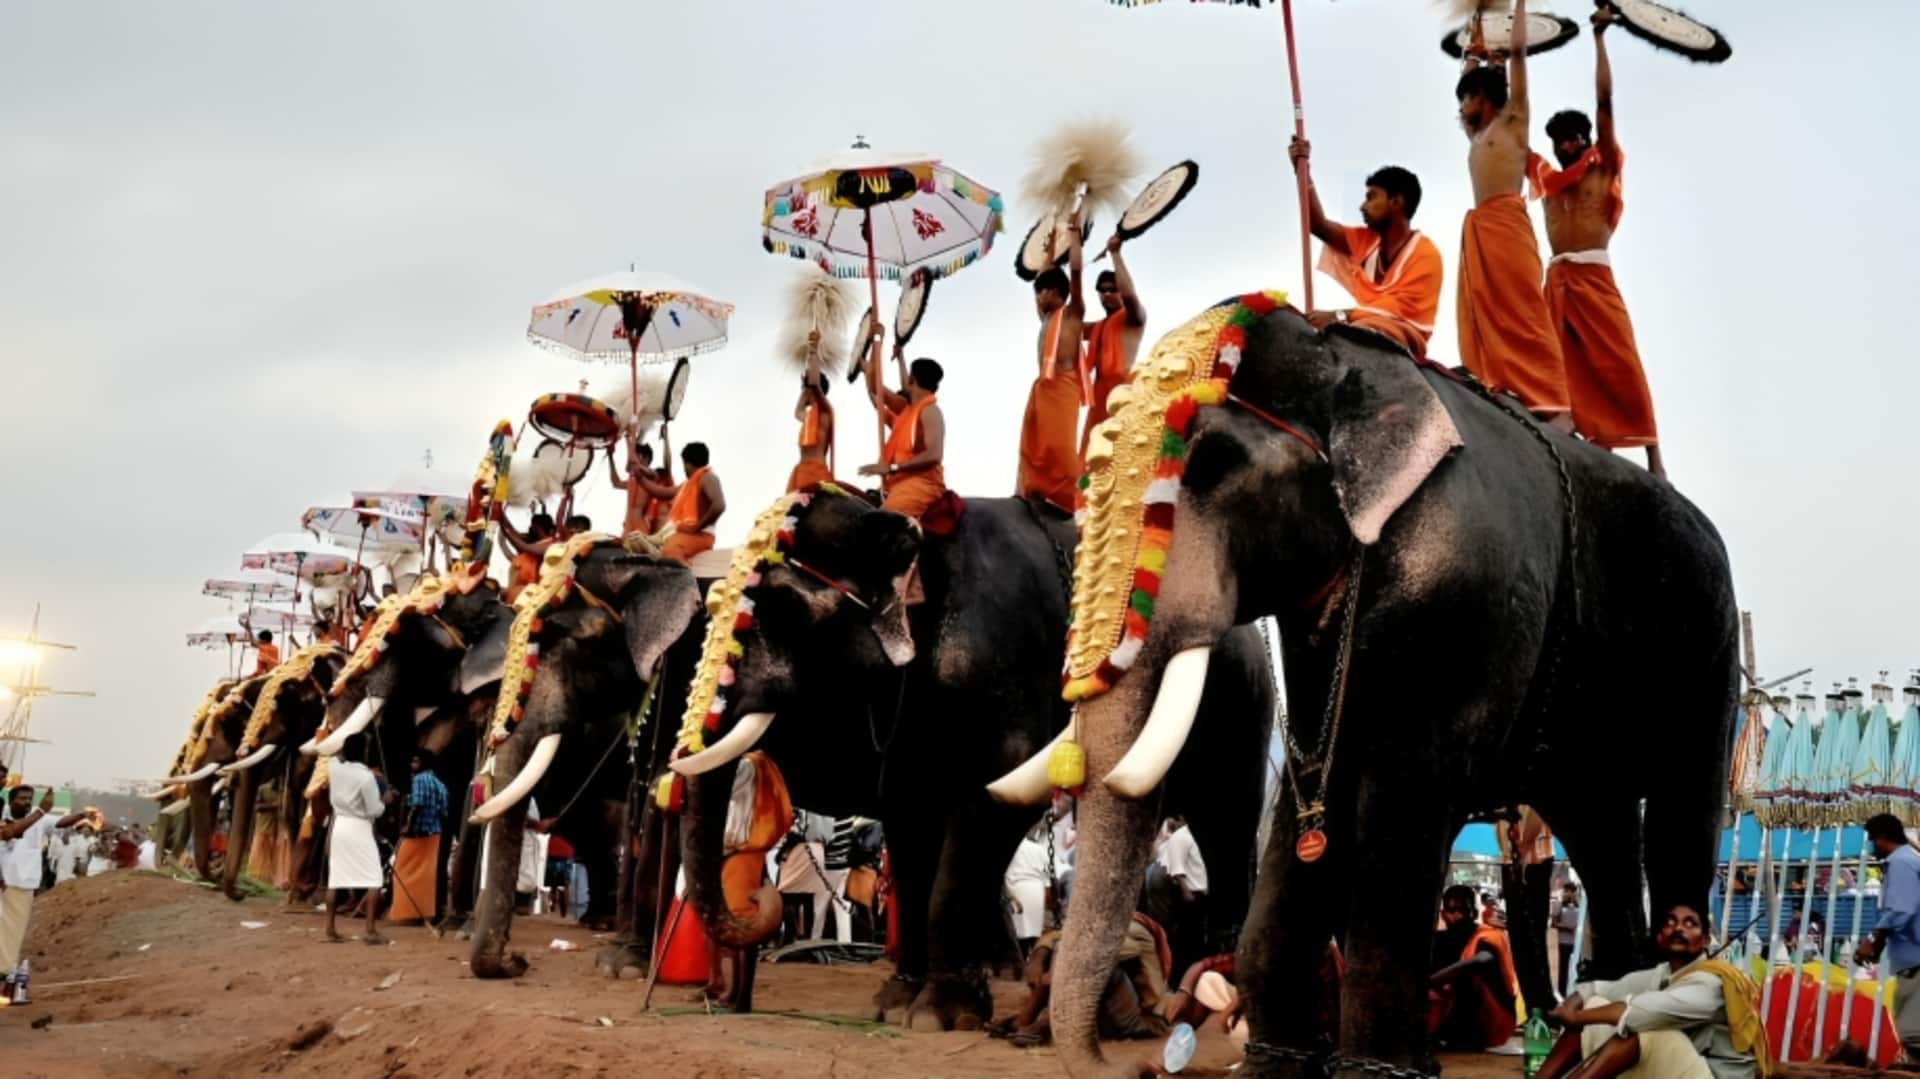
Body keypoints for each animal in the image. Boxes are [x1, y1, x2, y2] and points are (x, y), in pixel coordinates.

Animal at [668, 485, 1282, 1021]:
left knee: (1226, 819)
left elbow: (992, 802)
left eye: (784, 608)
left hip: (1240, 700)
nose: (758, 902)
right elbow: (911, 828)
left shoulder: (1004, 669)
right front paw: (895, 1003)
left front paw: (940, 1014)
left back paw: (1209, 985)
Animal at [1036, 297, 1743, 1075]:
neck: (1336, 356)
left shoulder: (1460, 592)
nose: (1130, 1062)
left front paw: (1378, 1070)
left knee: (1679, 810)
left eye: (1210, 462)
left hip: (1709, 642)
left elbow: (1403, 793)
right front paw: (1278, 1062)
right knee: (1601, 820)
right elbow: (1310, 793)